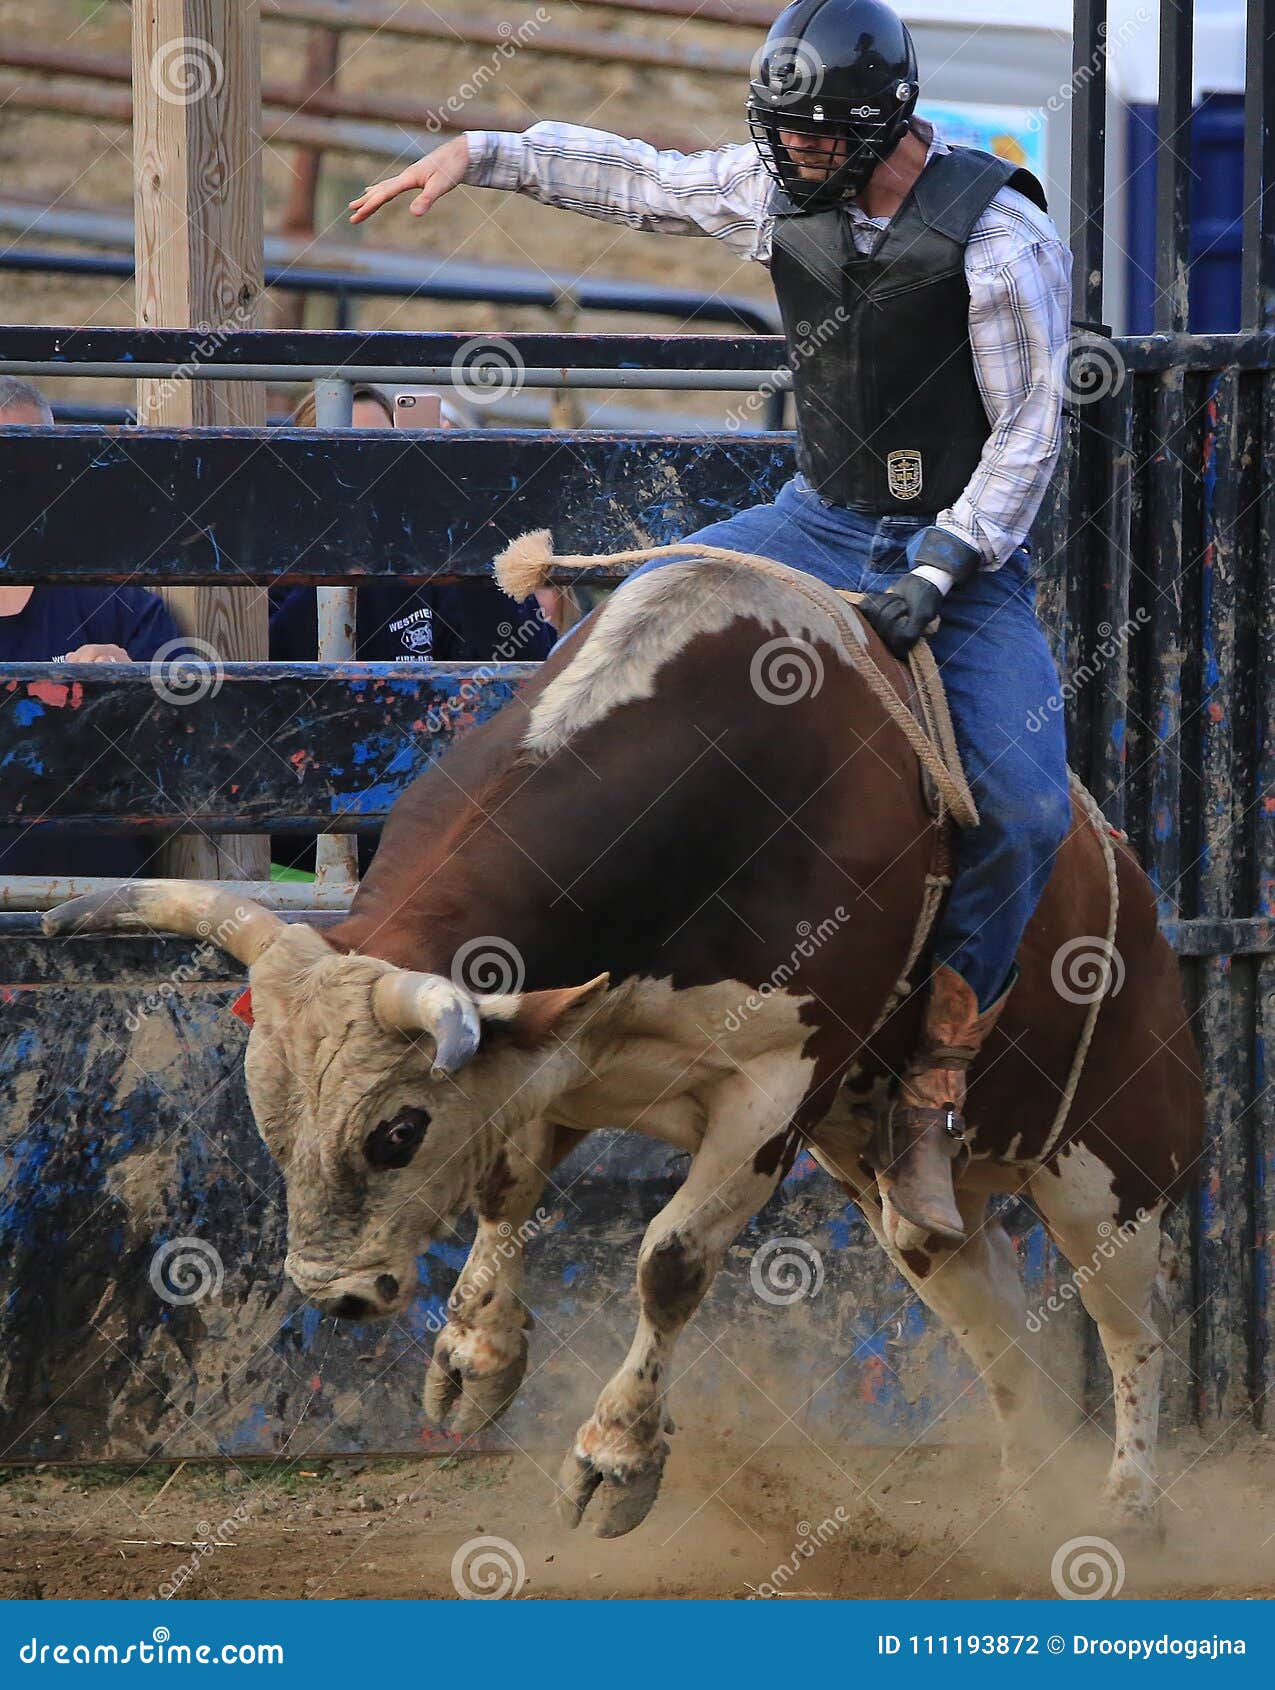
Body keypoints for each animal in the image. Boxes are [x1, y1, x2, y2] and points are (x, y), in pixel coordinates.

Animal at [44, 561, 1197, 1541]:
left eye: (398, 1130)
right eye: (268, 1115)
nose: (334, 1292)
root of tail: (1146, 917)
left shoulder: (771, 1091)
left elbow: (670, 1260)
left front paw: (615, 1458)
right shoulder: (550, 1046)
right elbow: (507, 1189)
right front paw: (477, 1357)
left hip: (1111, 1175)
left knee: (1129, 1328)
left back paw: (1130, 1503)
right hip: (913, 1203)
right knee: (994, 1324)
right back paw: (1028, 1491)